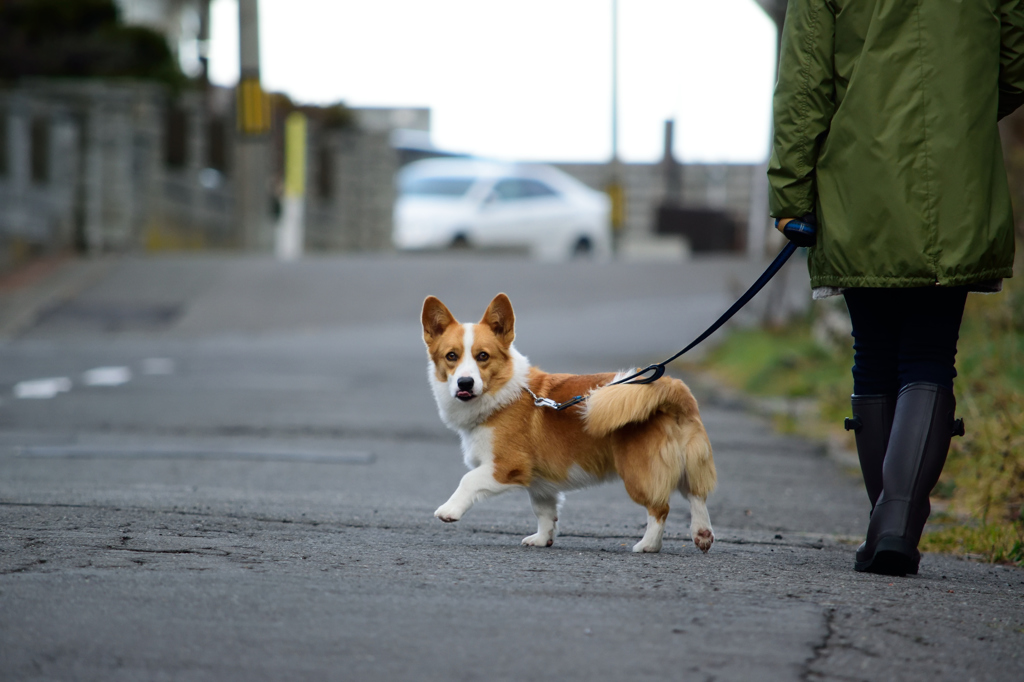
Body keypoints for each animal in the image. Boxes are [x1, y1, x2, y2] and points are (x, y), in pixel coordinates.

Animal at [419, 292, 716, 552]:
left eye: (483, 356)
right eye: (451, 356)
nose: (464, 383)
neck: (501, 393)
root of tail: (670, 390)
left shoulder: (505, 466)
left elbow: (468, 480)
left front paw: (449, 511)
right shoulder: (540, 484)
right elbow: (545, 512)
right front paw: (542, 539)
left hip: (638, 473)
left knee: (660, 508)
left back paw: (648, 545)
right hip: (690, 462)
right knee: (697, 495)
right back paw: (702, 533)